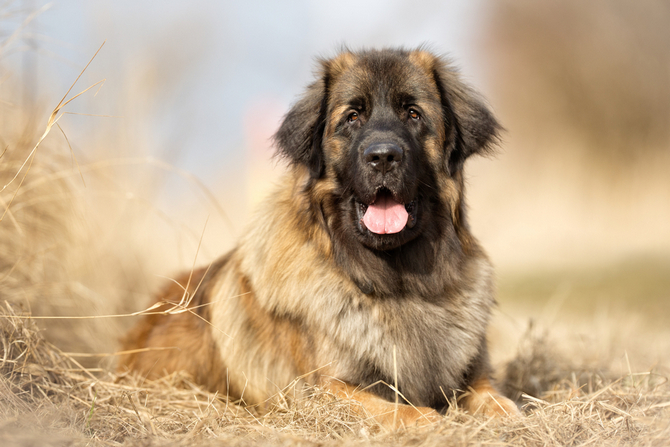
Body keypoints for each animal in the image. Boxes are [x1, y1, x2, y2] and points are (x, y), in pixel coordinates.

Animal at [121, 47, 520, 428]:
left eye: (413, 114)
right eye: (353, 117)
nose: (383, 157)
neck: (397, 283)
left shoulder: (473, 375)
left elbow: (497, 400)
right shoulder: (323, 389)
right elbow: (395, 410)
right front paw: (428, 420)